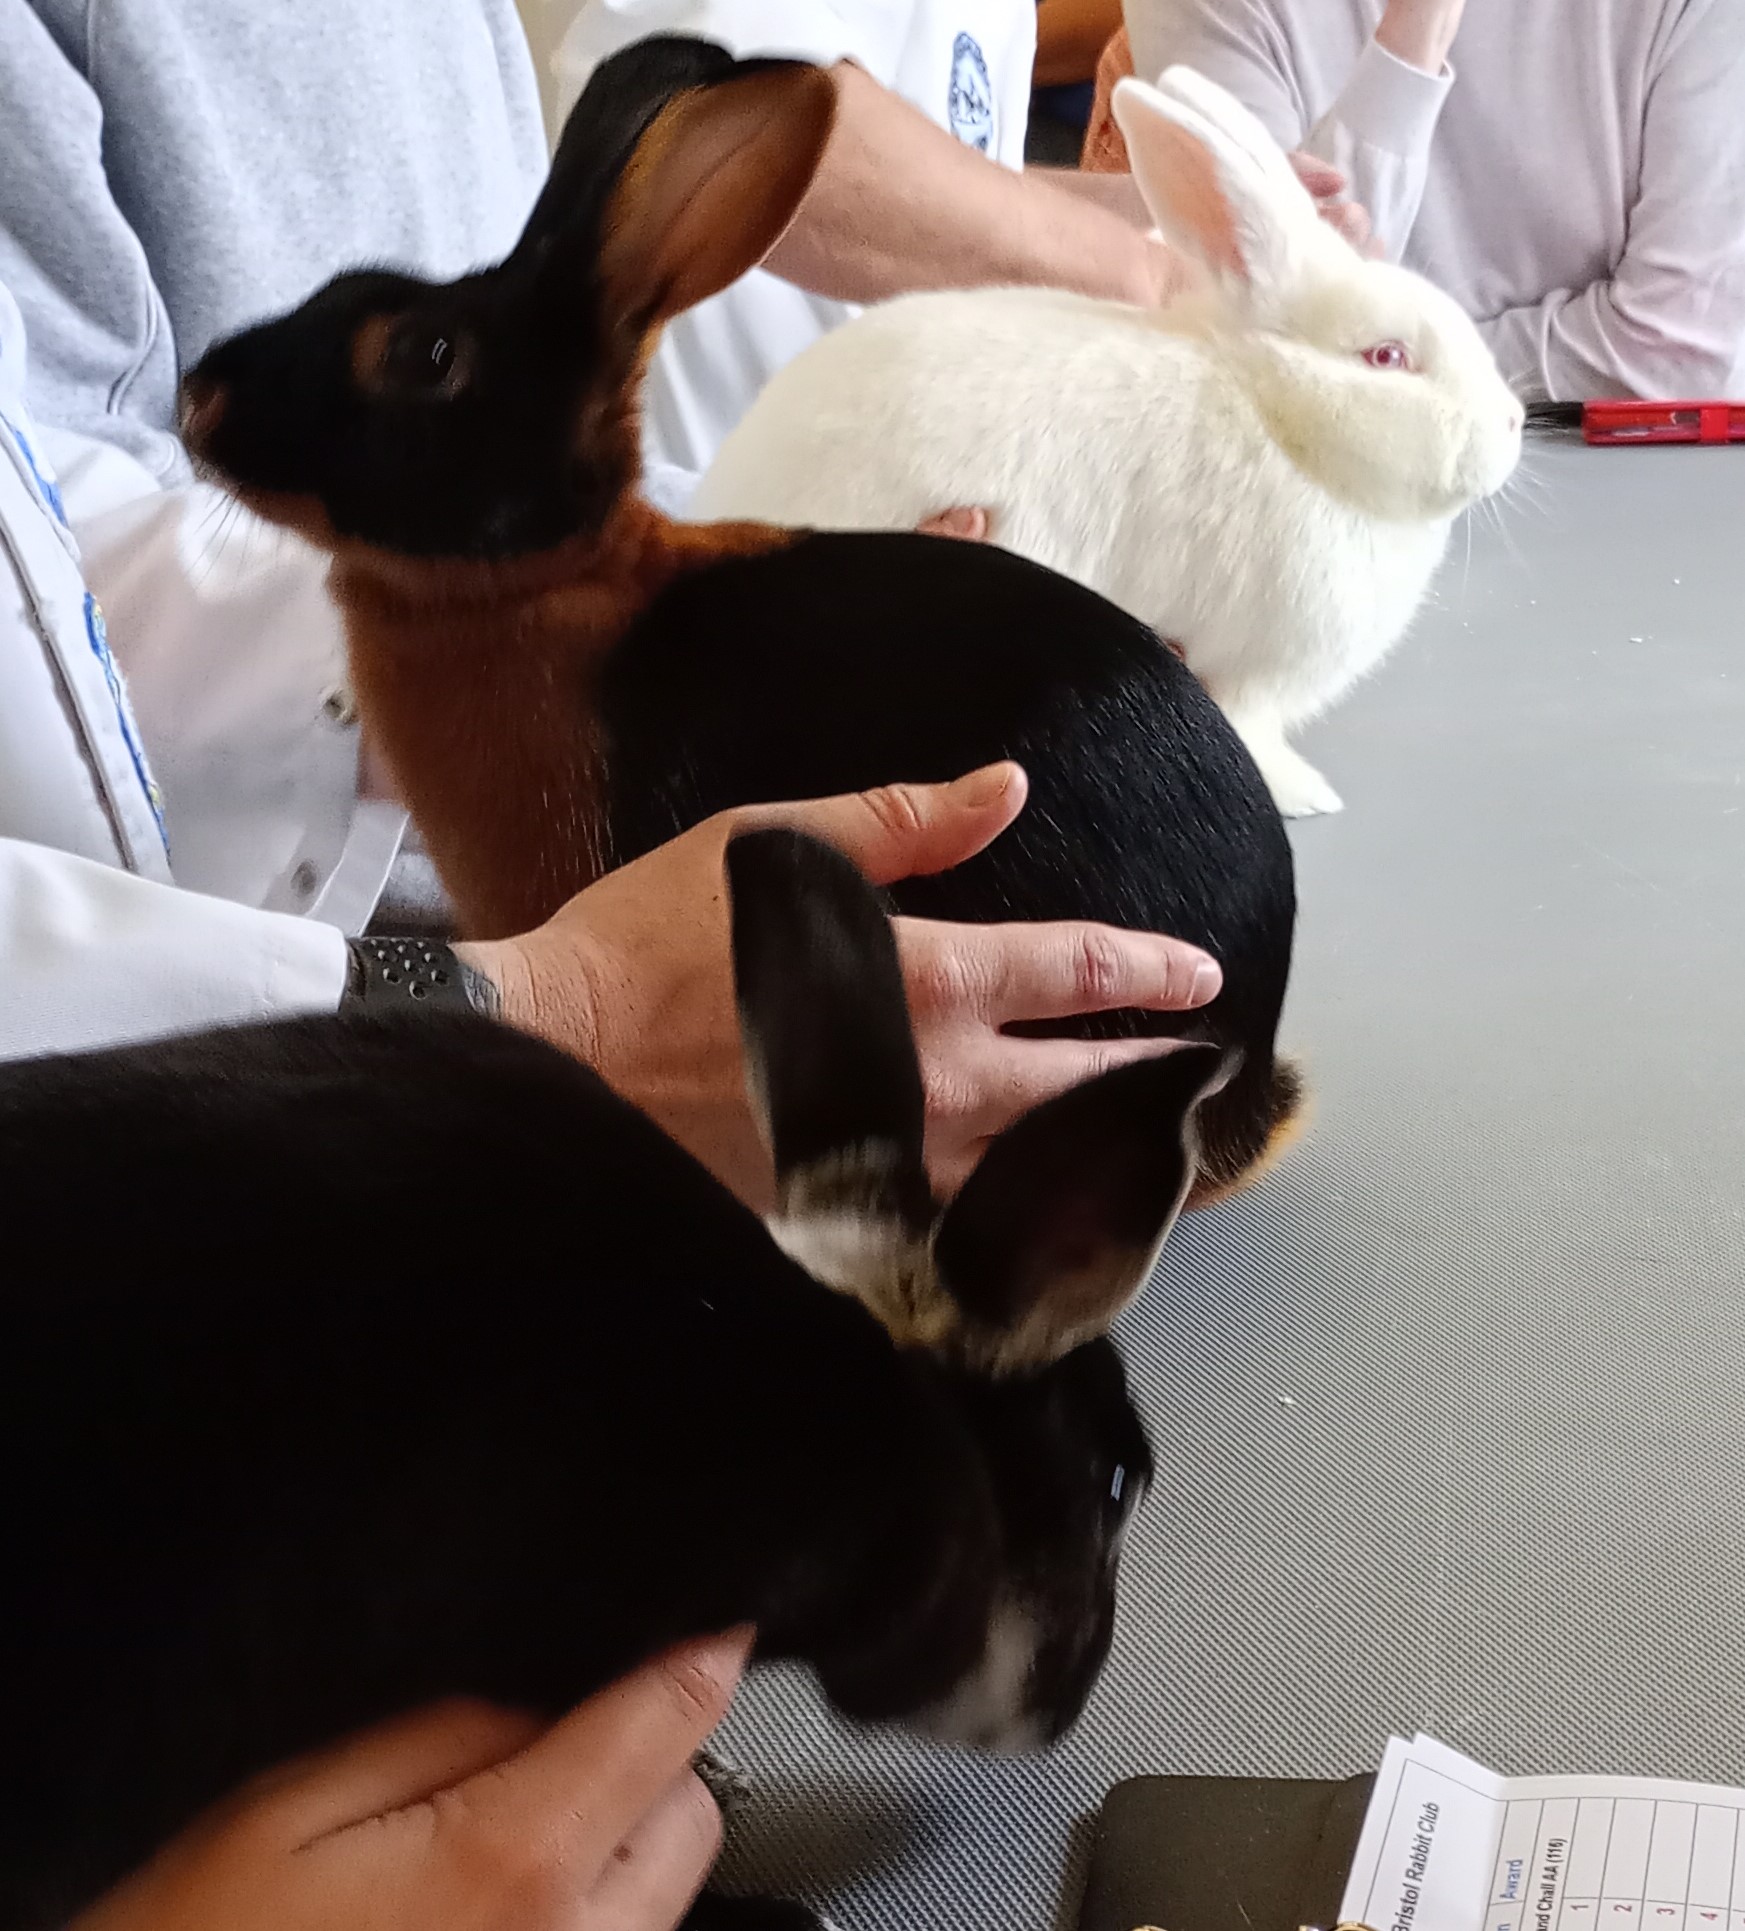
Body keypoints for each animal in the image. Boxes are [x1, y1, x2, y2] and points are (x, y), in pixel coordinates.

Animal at [691, 64, 1526, 819]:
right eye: (1386, 356)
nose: (1514, 422)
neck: (1277, 418)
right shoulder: (1253, 670)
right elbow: (1254, 737)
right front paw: (1303, 795)